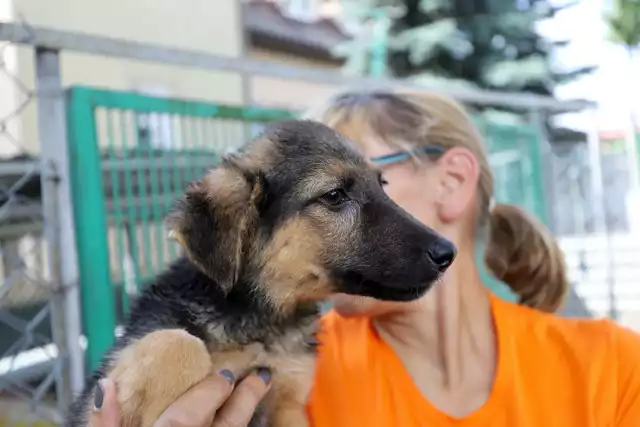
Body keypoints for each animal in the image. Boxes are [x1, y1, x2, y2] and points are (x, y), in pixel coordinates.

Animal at [65, 118, 458, 427]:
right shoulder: (96, 398)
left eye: (382, 186)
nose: (447, 253)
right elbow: (179, 343)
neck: (264, 324)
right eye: (334, 196)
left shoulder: (289, 401)